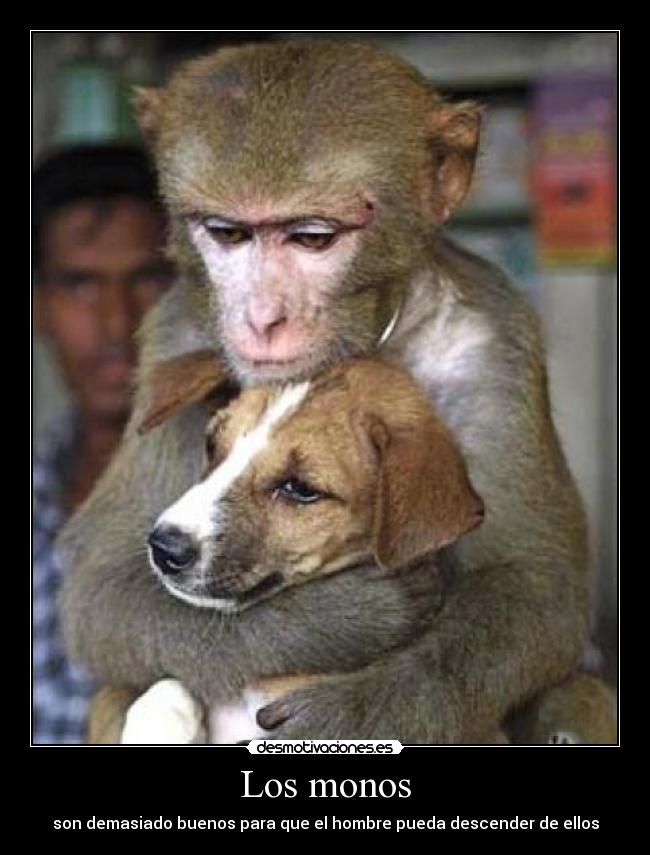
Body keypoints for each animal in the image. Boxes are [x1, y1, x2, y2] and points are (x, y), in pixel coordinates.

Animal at [59, 40, 611, 743]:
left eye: (312, 237)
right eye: (228, 233)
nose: (261, 319)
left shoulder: (495, 339)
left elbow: (536, 585)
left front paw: (356, 711)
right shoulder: (173, 329)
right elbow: (102, 591)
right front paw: (351, 615)